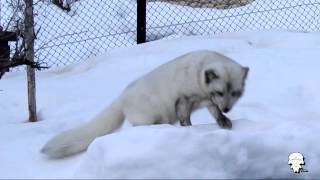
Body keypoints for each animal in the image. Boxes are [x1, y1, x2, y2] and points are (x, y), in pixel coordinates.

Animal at [40, 49, 250, 158]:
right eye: (220, 92)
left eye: (234, 93)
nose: (227, 108)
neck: (197, 74)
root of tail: (122, 96)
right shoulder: (184, 99)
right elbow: (185, 119)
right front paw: (189, 131)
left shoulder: (207, 100)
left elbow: (215, 113)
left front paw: (224, 121)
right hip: (147, 118)